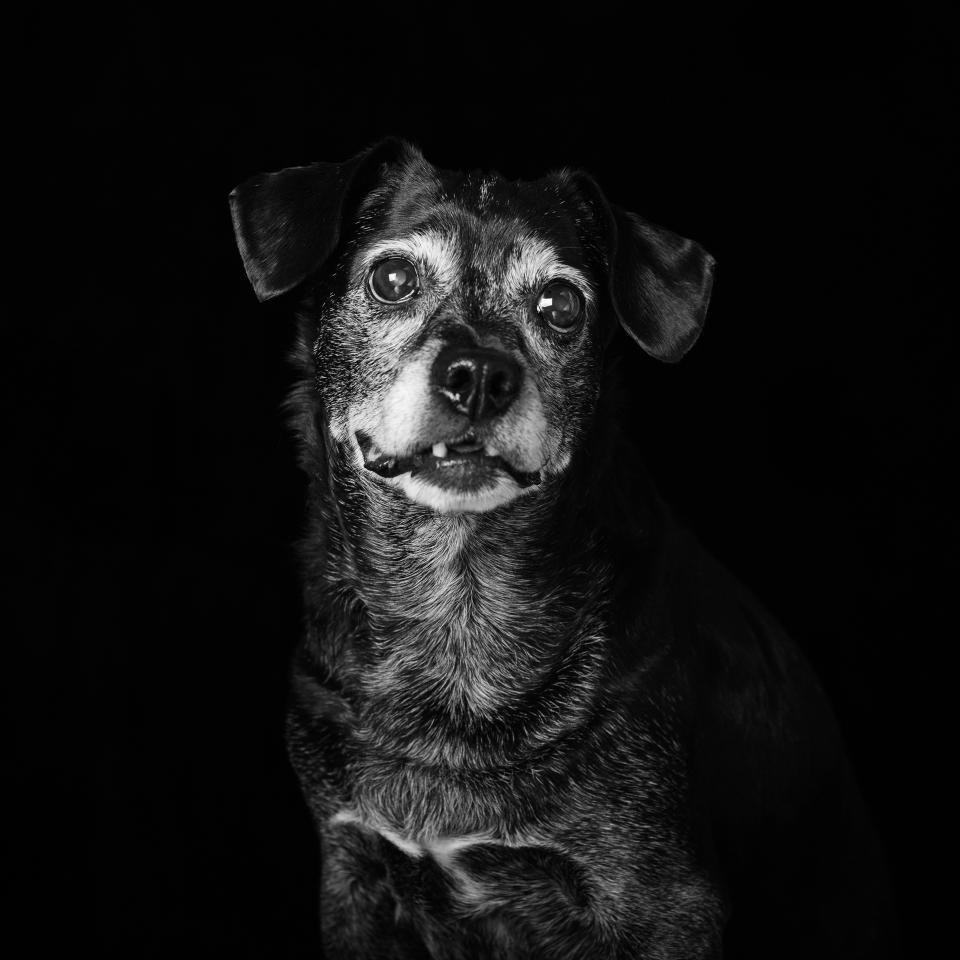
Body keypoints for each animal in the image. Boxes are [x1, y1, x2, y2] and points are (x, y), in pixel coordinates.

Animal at [229, 141, 896, 960]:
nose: (479, 374)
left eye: (560, 305)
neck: (459, 618)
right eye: (390, 280)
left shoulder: (666, 906)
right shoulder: (354, 874)